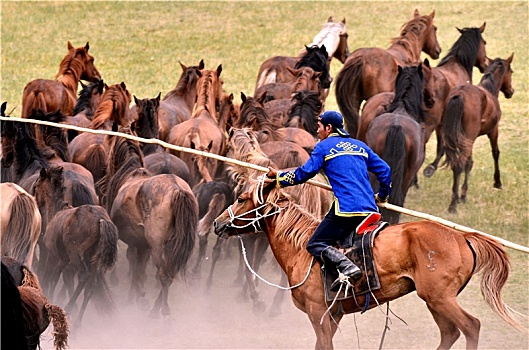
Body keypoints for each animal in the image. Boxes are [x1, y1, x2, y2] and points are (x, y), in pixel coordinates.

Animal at [33, 165, 118, 326]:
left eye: (37, 185)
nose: (35, 201)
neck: (58, 211)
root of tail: (101, 220)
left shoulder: (53, 256)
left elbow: (50, 277)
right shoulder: (64, 260)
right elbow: (58, 278)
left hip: (76, 255)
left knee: (84, 276)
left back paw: (68, 309)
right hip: (93, 259)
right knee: (90, 285)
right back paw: (78, 321)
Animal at [213, 176, 524, 348]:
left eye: (241, 198)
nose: (218, 222)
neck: (303, 249)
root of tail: (462, 237)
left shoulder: (319, 314)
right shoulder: (333, 316)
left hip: (440, 298)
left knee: (471, 327)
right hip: (435, 300)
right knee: (450, 333)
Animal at [440, 55, 512, 213]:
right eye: (511, 71)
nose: (511, 91)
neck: (489, 91)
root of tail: (459, 95)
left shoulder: (468, 139)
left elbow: (469, 163)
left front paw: (463, 195)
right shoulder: (493, 131)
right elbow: (495, 153)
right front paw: (497, 182)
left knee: (458, 164)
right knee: (458, 165)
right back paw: (452, 205)